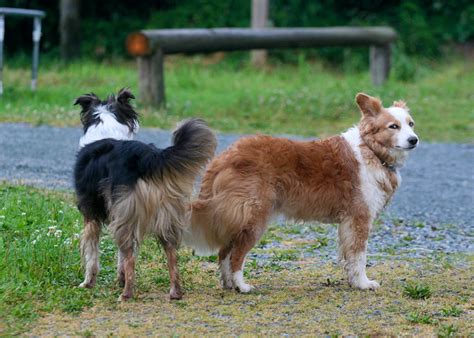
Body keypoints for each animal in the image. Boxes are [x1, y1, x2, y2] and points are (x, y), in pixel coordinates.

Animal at [73, 88, 217, 300]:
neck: (106, 125)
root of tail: (147, 157)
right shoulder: (119, 214)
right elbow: (120, 256)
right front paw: (119, 278)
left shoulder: (91, 214)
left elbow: (92, 254)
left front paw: (88, 283)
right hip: (164, 214)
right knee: (171, 253)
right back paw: (175, 292)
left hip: (128, 214)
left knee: (131, 256)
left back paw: (126, 294)